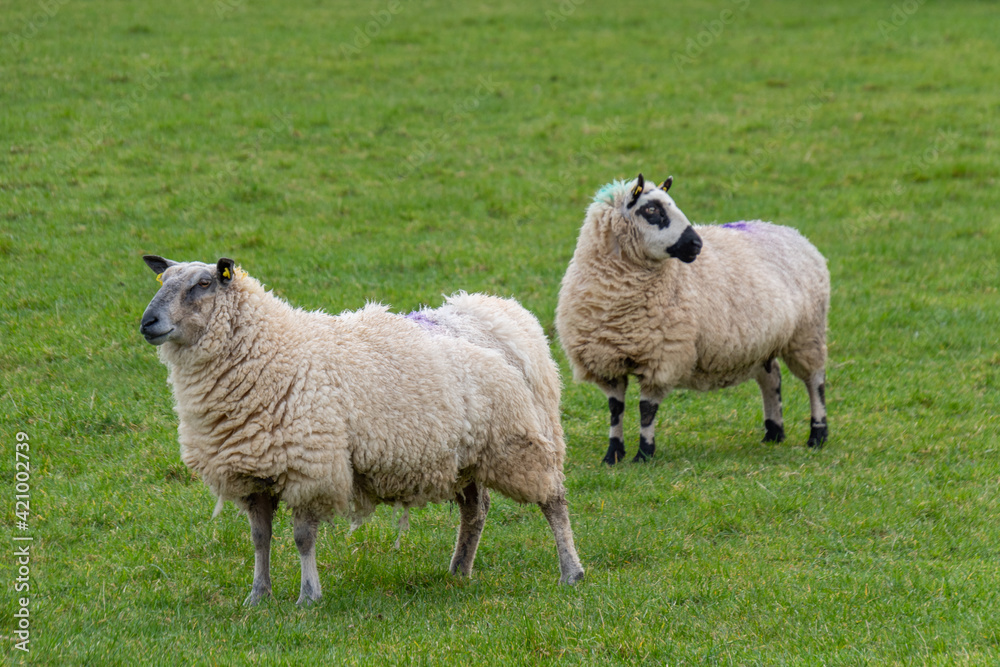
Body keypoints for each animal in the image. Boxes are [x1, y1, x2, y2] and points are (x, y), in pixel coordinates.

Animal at [137, 256, 584, 604]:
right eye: (163, 281)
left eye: (203, 284)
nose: (147, 323)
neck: (272, 350)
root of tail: (502, 312)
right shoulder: (253, 472)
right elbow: (260, 538)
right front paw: (258, 595)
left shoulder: (311, 467)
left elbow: (302, 538)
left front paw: (308, 597)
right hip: (468, 453)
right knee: (477, 510)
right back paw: (459, 570)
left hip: (521, 439)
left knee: (553, 501)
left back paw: (571, 572)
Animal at [556, 174, 828, 464]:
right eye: (651, 210)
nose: (697, 244)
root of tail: (793, 233)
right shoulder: (607, 360)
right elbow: (615, 408)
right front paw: (613, 455)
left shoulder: (662, 357)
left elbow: (646, 409)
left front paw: (644, 455)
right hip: (762, 344)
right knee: (772, 378)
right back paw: (774, 434)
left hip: (808, 333)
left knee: (815, 381)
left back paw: (818, 435)